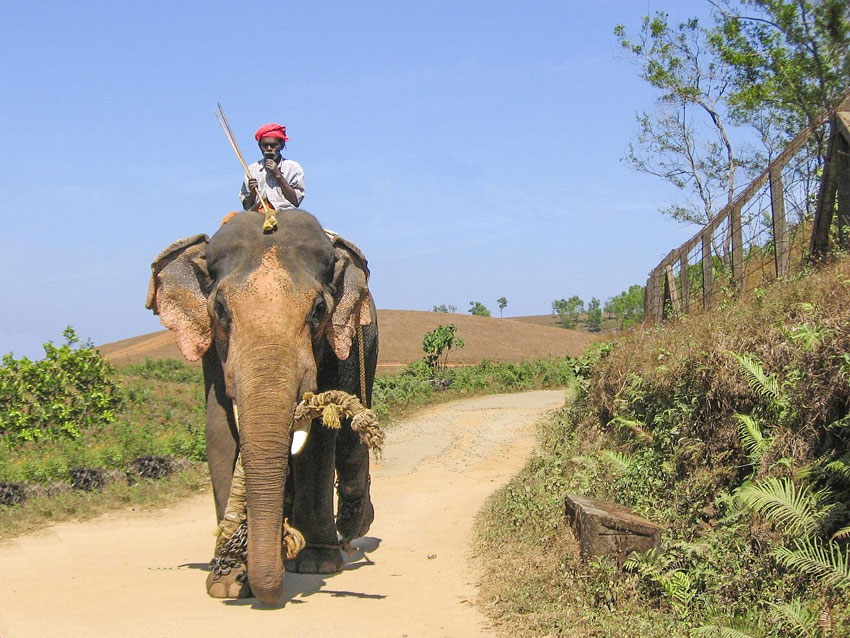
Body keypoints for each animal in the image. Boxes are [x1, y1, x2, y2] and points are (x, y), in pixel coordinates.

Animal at [145, 209, 378, 604]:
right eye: (220, 310)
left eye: (319, 310)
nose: (272, 593)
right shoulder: (213, 349)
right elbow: (219, 430)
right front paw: (227, 582)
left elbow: (318, 438)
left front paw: (316, 566)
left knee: (350, 444)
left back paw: (353, 526)